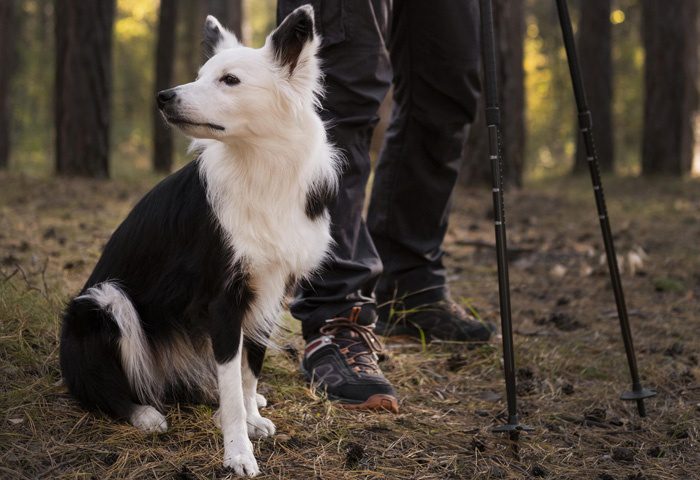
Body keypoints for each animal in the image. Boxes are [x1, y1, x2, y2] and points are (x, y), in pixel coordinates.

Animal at [58, 6, 338, 476]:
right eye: (200, 75)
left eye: (230, 80)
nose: (163, 97)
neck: (259, 166)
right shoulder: (224, 298)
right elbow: (232, 378)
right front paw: (238, 451)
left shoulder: (269, 288)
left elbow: (248, 371)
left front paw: (251, 416)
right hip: (103, 302)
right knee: (100, 386)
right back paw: (144, 414)